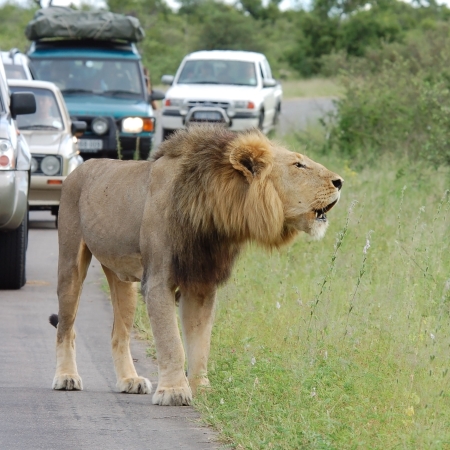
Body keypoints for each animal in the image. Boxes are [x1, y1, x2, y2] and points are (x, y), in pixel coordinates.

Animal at [51, 125, 342, 406]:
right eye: (298, 165)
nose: (340, 182)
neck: (214, 217)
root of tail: (82, 166)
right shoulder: (158, 282)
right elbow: (172, 342)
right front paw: (174, 391)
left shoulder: (201, 283)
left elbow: (200, 342)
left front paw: (201, 388)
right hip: (71, 261)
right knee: (67, 327)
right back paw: (66, 377)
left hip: (122, 279)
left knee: (118, 333)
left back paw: (129, 381)